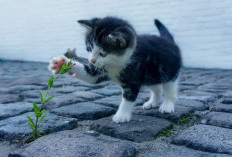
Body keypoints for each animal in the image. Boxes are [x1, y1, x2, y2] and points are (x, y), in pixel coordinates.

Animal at [48, 16, 181, 123]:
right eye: (89, 48)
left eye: (103, 53)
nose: (91, 60)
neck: (117, 63)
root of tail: (169, 42)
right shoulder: (100, 70)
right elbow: (89, 75)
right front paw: (61, 63)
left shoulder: (133, 78)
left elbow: (128, 98)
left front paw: (122, 116)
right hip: (150, 76)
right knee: (157, 88)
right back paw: (153, 102)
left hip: (168, 72)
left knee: (170, 89)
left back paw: (167, 105)